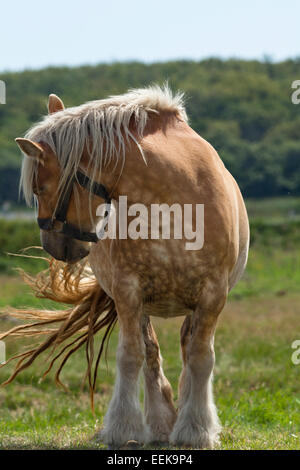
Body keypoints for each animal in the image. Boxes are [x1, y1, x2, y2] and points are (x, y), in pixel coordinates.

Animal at [3, 86, 250, 450]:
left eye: (41, 188)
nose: (52, 245)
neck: (173, 203)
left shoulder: (213, 296)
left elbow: (201, 357)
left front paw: (196, 430)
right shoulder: (128, 293)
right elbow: (132, 356)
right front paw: (125, 428)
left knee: (187, 348)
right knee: (152, 353)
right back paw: (161, 424)